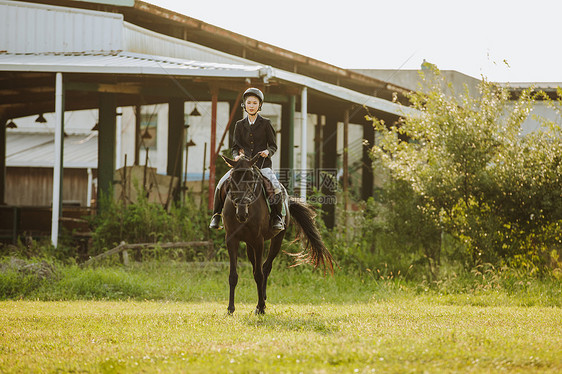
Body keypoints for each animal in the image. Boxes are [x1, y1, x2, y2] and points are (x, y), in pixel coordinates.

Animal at [219, 153, 332, 314]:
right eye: (232, 179)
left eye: (251, 179)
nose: (241, 214)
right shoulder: (231, 240)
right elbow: (233, 275)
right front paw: (230, 308)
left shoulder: (259, 241)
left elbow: (259, 275)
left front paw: (260, 307)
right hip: (249, 244)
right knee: (256, 266)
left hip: (277, 239)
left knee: (265, 267)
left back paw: (262, 301)